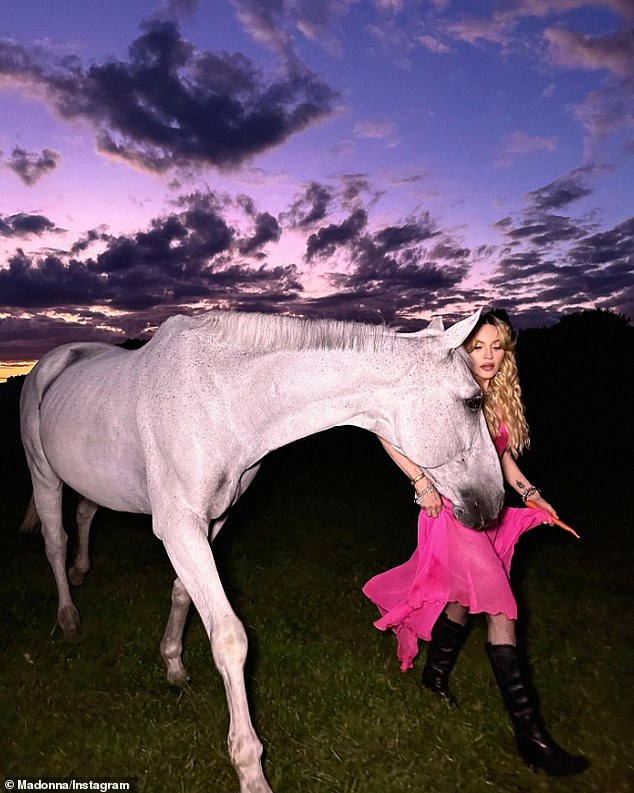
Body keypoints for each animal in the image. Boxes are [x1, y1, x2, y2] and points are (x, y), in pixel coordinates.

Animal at [21, 310, 498, 792]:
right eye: (474, 401)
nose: (494, 504)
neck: (221, 400)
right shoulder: (178, 527)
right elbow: (230, 638)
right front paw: (251, 771)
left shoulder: (213, 521)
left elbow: (182, 593)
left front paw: (173, 663)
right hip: (44, 476)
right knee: (55, 542)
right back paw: (69, 618)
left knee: (85, 514)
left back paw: (82, 570)